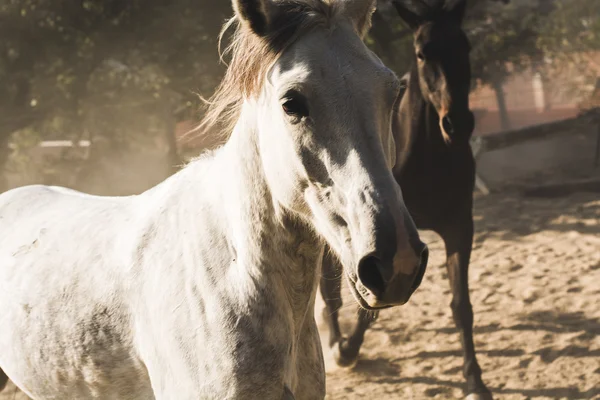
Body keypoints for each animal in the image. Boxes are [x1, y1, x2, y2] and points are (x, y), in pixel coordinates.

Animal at [318, 0, 492, 400]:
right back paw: (335, 344)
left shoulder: (459, 228)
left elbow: (461, 306)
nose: (457, 124)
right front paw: (348, 350)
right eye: (422, 52)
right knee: (329, 288)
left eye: (465, 46)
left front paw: (474, 380)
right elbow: (368, 304)